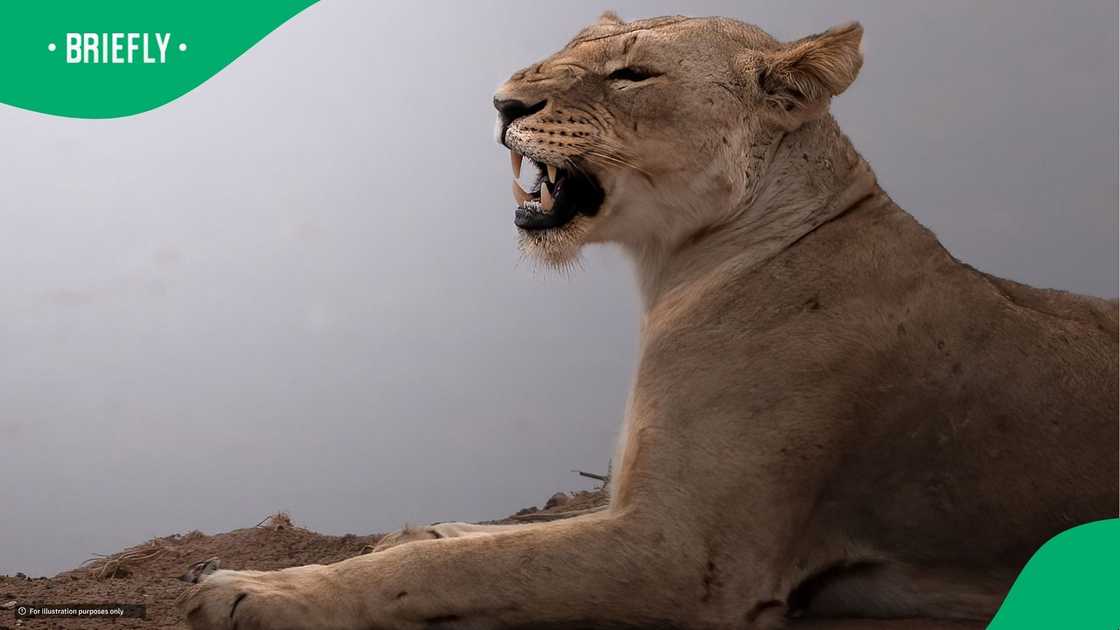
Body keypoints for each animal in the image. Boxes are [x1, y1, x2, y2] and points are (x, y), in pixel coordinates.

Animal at [178, 12, 1118, 629]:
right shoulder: (636, 501)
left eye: (632, 75)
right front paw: (405, 531)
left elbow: (466, 565)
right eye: (563, 51)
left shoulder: (684, 552)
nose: (500, 103)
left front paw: (258, 591)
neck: (672, 268)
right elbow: (502, 533)